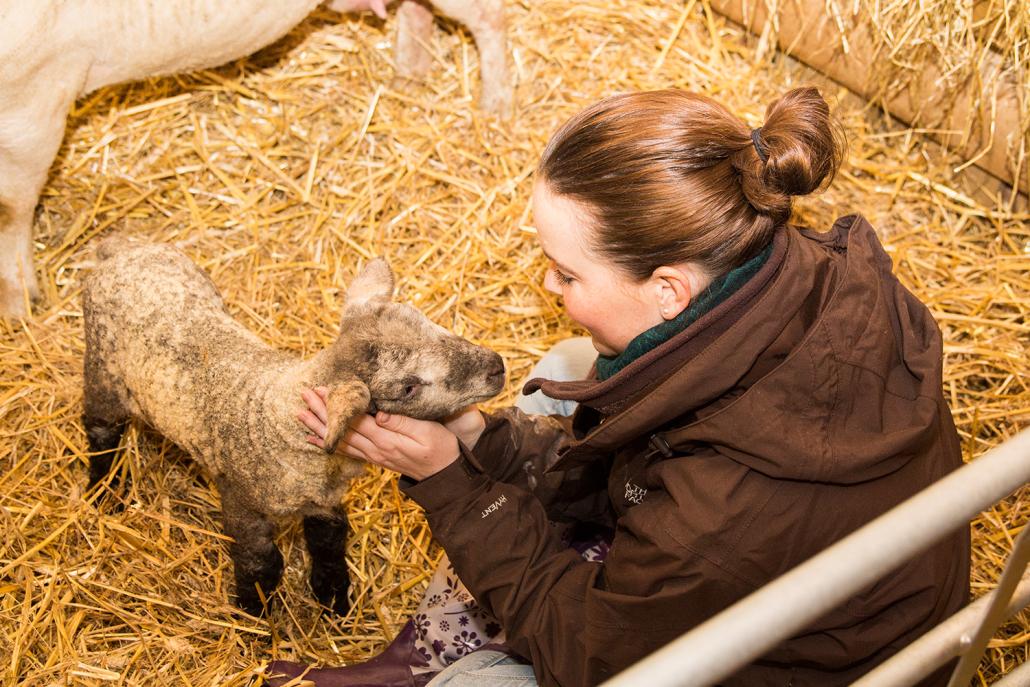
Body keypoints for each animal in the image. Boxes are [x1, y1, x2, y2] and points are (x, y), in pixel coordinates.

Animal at [0, 0, 515, 321]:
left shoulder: (30, 107)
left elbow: (11, 207)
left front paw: (19, 311)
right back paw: (409, 79)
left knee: (489, 16)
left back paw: (494, 108)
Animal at [84, 238, 506, 613]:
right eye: (407, 387)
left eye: (430, 322)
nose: (497, 366)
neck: (280, 417)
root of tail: (118, 249)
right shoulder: (240, 500)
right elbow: (261, 561)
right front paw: (253, 612)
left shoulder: (323, 500)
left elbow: (329, 540)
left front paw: (333, 597)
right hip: (103, 370)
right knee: (100, 428)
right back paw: (104, 490)